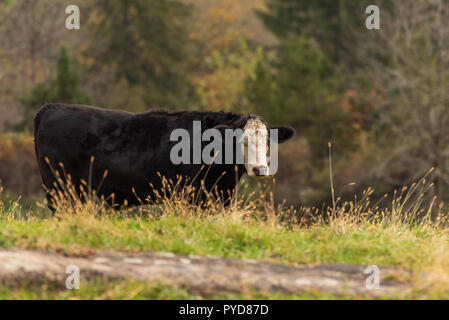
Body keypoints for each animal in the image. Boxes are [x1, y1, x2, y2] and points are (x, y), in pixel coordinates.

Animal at [34, 104, 294, 209]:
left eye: (267, 141)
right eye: (241, 141)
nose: (260, 169)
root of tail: (53, 107)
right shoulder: (192, 194)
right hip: (60, 185)